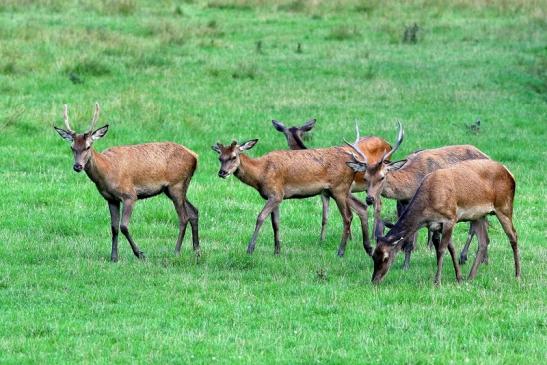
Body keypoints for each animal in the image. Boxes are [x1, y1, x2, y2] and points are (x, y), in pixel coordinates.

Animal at [54, 104, 201, 260]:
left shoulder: (130, 195)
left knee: (183, 217)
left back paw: (176, 251)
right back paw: (197, 250)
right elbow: (114, 228)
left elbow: (123, 226)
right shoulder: (111, 199)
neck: (107, 171)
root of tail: (195, 156)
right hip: (173, 188)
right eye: (72, 148)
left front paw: (140, 254)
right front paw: (114, 257)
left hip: (176, 185)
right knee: (194, 211)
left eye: (88, 146)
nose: (77, 166)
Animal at [212, 139, 374, 256]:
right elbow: (276, 223)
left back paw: (340, 251)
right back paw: (368, 247)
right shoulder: (277, 197)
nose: (222, 172)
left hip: (339, 188)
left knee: (348, 216)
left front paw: (250, 249)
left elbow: (260, 217)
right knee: (362, 207)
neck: (260, 174)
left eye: (233, 156)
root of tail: (354, 164)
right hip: (340, 191)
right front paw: (277, 250)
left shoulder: (275, 194)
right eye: (220, 158)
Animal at [270, 118, 392, 246]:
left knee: (377, 205)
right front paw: (323, 239)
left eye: (285, 134)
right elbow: (325, 217)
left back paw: (374, 235)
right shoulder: (324, 193)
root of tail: (387, 143)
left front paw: (349, 239)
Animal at [344, 123, 490, 268]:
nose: (369, 199)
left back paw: (467, 257)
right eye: (365, 178)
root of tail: (487, 156)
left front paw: (406, 265)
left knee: (474, 227)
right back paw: (482, 259)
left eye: (382, 177)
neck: (411, 185)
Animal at [370, 159, 520, 284]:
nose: (375, 280)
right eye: (373, 256)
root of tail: (510, 174)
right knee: (484, 241)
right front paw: (459, 277)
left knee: (513, 235)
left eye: (386, 258)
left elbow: (442, 249)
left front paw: (437, 281)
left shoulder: (450, 218)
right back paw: (470, 277)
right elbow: (449, 248)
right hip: (478, 215)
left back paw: (518, 275)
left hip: (504, 206)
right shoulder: (435, 225)